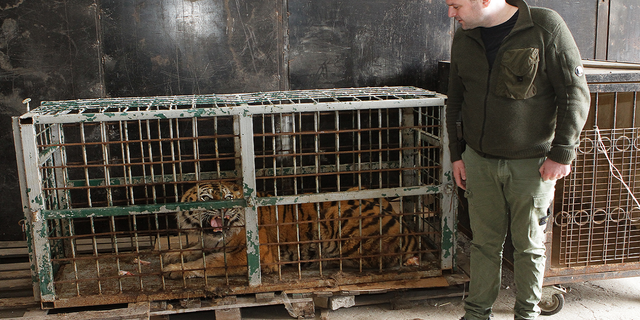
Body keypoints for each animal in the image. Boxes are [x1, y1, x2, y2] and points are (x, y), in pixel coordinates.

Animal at [161, 181, 420, 278]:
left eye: (226, 198)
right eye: (206, 198)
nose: (223, 210)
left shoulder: (253, 256)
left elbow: (210, 263)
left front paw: (174, 270)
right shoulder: (208, 241)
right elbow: (194, 248)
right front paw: (172, 255)